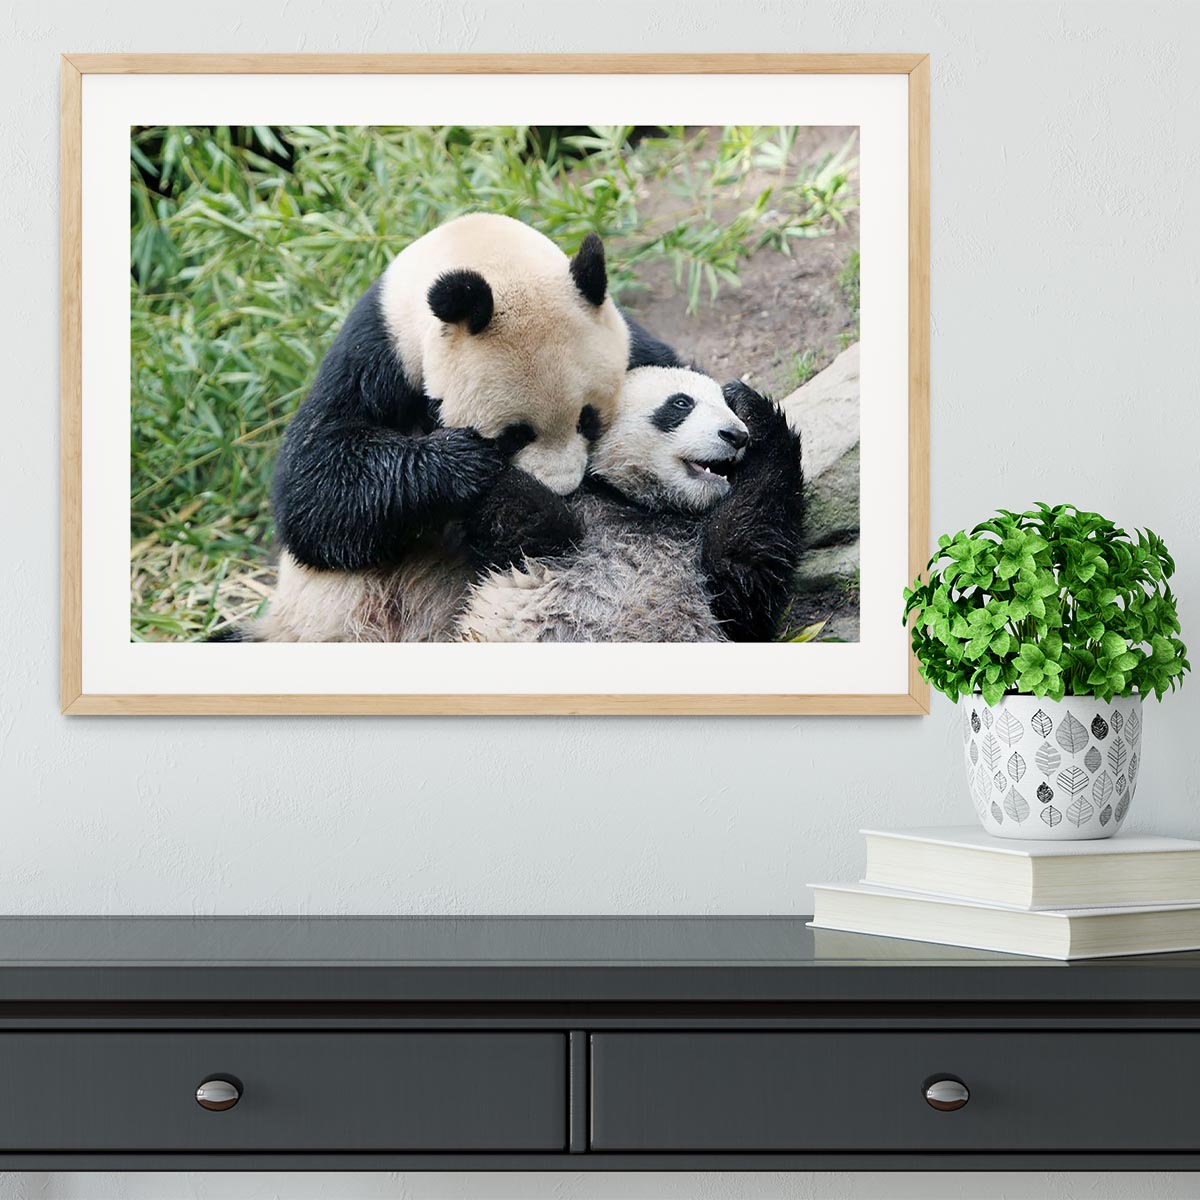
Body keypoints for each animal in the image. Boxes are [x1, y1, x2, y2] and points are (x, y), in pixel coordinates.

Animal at [238, 213, 681, 643]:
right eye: (514, 435)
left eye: (587, 419)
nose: (563, 489)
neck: (480, 249)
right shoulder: (376, 352)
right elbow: (315, 484)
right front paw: (463, 463)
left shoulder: (628, 336)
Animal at [455, 367, 805, 643]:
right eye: (681, 403)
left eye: (725, 408)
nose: (735, 435)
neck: (646, 506)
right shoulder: (583, 513)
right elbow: (524, 518)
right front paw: (466, 458)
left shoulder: (712, 583)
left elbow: (746, 564)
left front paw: (750, 405)